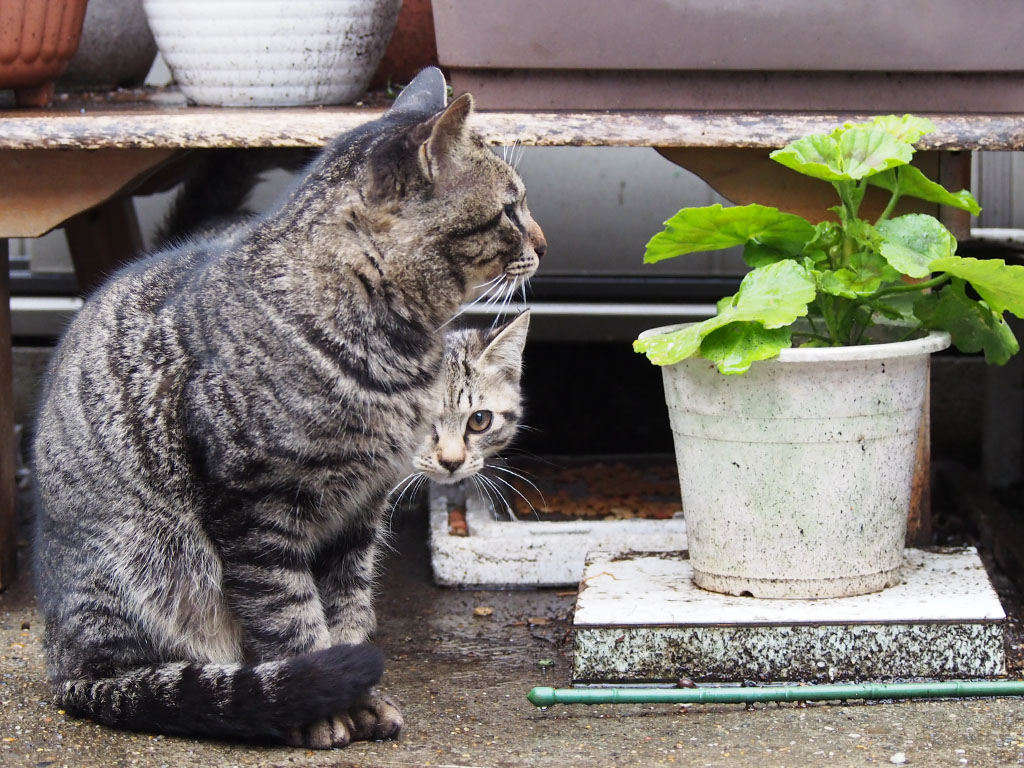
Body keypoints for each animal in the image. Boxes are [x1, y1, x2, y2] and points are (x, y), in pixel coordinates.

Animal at [29, 69, 544, 749]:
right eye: (511, 208)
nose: (544, 241)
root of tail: (61, 663)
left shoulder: (359, 512)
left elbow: (347, 612)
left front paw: (358, 693)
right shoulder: (256, 509)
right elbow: (290, 617)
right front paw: (320, 705)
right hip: (148, 568)